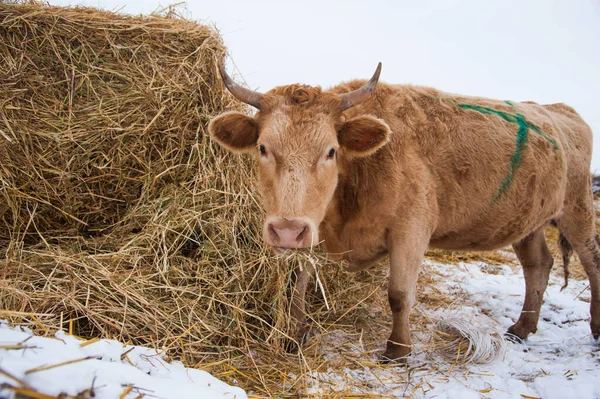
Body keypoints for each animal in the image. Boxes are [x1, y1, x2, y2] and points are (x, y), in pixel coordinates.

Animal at [207, 63, 600, 362]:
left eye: (331, 151)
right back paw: (523, 327)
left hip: (577, 208)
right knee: (539, 264)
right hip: (528, 220)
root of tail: (558, 109)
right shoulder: (312, 227)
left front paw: (398, 349)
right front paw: (296, 333)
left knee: (591, 259)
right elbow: (298, 283)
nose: (287, 230)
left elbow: (398, 293)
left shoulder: (411, 229)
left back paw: (594, 327)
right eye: (262, 148)